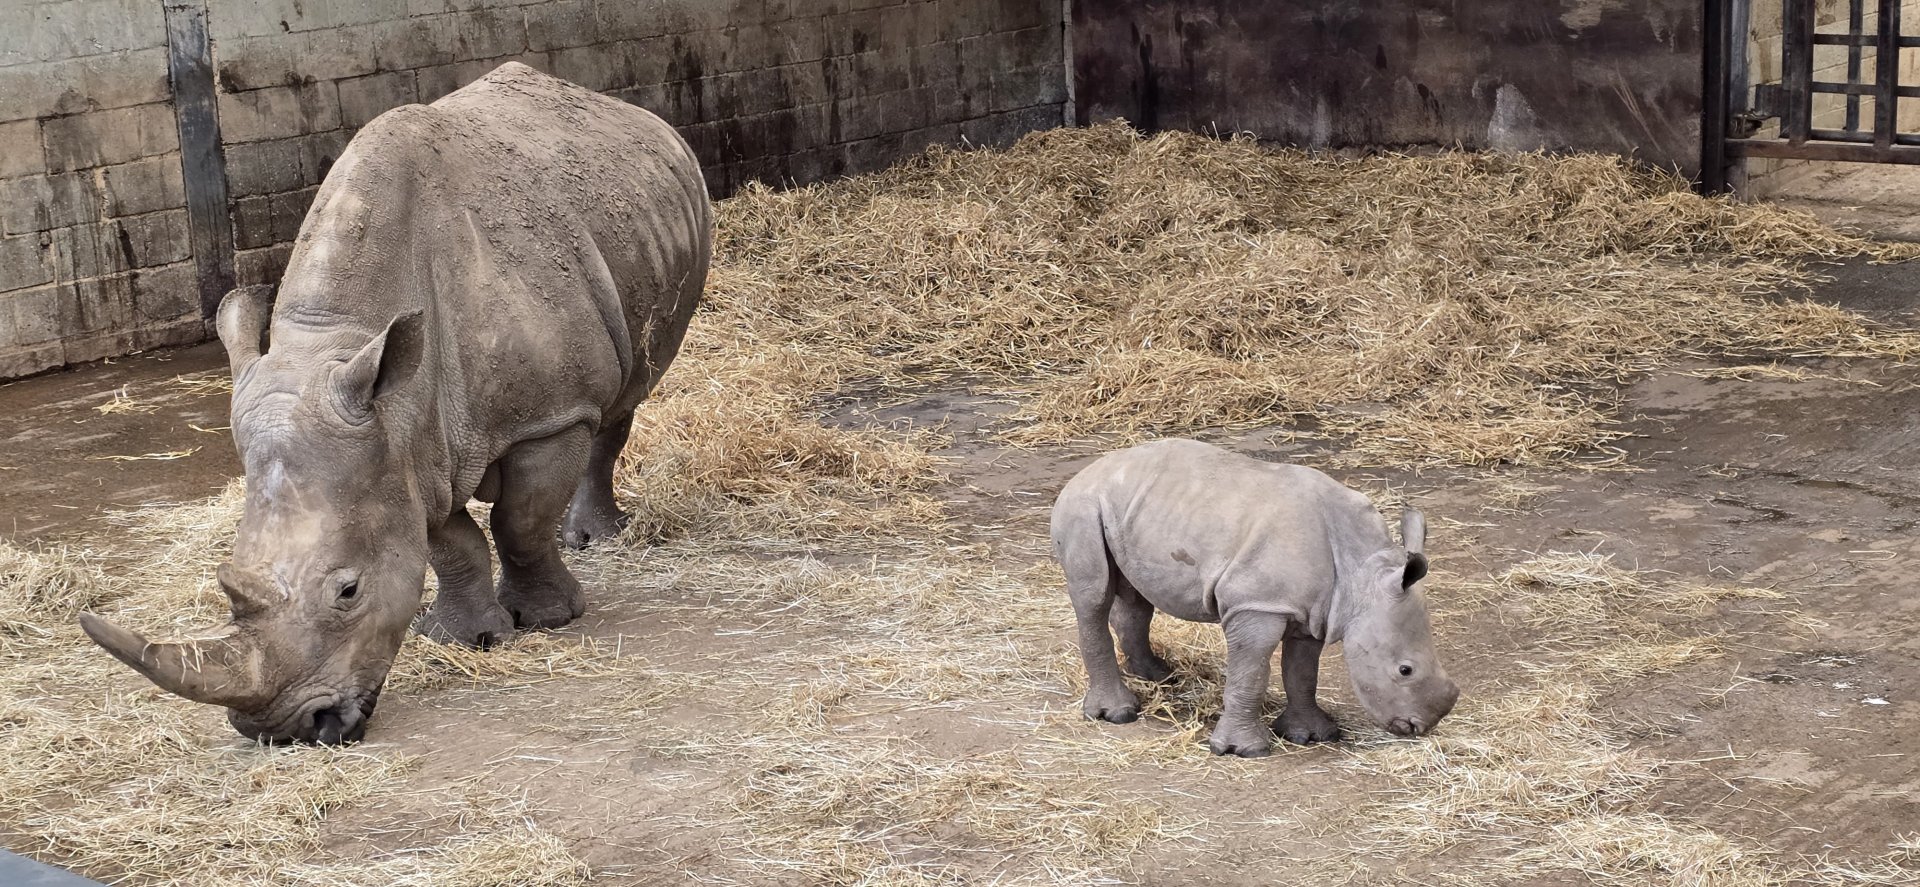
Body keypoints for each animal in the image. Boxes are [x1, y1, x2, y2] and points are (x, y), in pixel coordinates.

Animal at [77, 62, 712, 744]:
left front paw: (548, 619)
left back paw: (595, 539)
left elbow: (519, 522)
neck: (343, 340)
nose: (285, 730)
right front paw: (466, 636)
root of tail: (617, 108)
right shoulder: (402, 442)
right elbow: (447, 542)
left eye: (348, 592)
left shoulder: (547, 417)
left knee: (625, 397)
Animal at [1050, 438, 1458, 757]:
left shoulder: (1312, 611)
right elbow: (1252, 671)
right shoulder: (1256, 604)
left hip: (1131, 511)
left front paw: (1312, 735)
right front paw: (1243, 750)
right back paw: (1118, 714)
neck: (1361, 573)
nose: (1419, 727)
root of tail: (1085, 472)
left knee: (1135, 595)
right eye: (1404, 670)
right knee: (1093, 597)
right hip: (1082, 508)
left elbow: (1301, 671)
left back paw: (1160, 677)